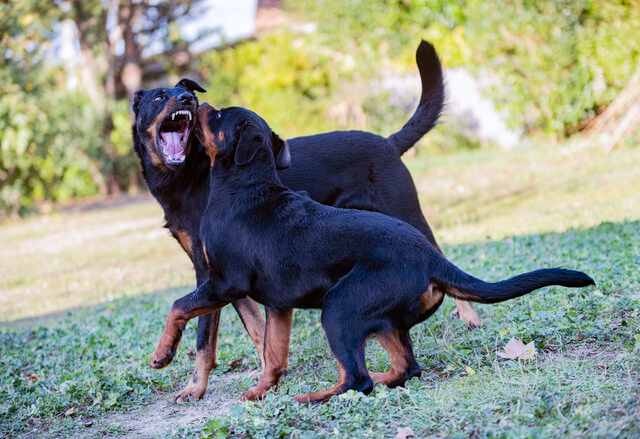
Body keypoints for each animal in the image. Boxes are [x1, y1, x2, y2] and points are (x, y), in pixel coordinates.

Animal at [150, 105, 596, 406]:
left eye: (217, 116)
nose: (196, 102)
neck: (244, 186)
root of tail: (430, 258)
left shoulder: (224, 282)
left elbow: (178, 307)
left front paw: (162, 354)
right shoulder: (278, 305)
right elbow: (273, 355)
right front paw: (260, 391)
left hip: (340, 308)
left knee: (357, 378)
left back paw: (315, 397)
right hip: (379, 317)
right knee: (404, 367)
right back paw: (376, 379)